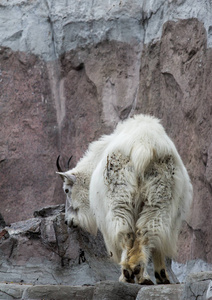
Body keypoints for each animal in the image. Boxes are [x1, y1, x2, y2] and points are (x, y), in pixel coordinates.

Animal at [57, 113, 193, 284]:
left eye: (66, 190)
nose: (68, 221)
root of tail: (143, 146)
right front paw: (159, 275)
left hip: (119, 195)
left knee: (124, 232)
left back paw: (127, 273)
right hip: (159, 195)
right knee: (148, 231)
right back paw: (149, 275)